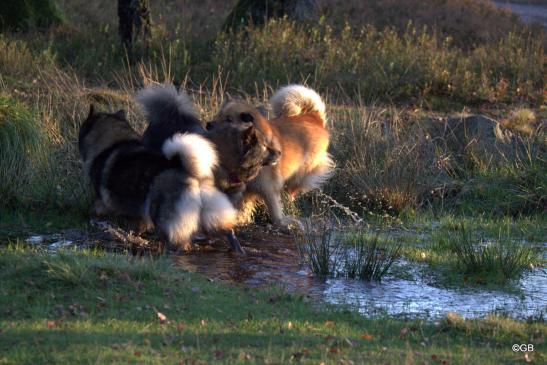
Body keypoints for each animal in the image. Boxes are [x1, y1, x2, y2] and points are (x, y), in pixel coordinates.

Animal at [78, 104, 258, 250]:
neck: (113, 142)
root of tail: (190, 172)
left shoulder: (103, 200)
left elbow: (95, 209)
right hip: (212, 215)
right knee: (228, 231)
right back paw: (237, 250)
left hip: (163, 216)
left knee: (176, 242)